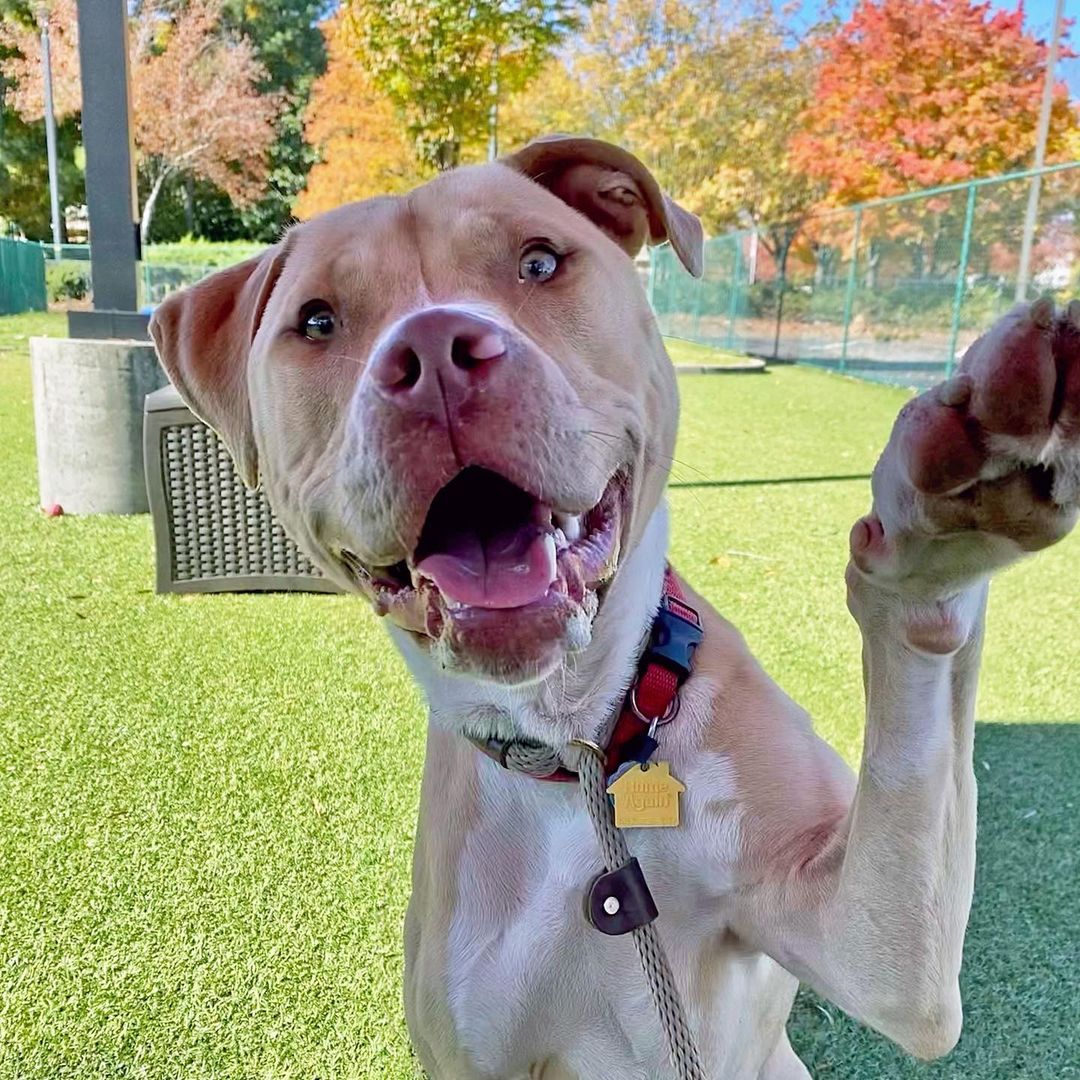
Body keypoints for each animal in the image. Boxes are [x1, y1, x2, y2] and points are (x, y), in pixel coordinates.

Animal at [150, 137, 1080, 1080]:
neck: (579, 741)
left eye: (538, 261)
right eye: (316, 323)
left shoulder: (872, 953)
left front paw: (949, 512)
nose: (434, 352)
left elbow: (912, 749)